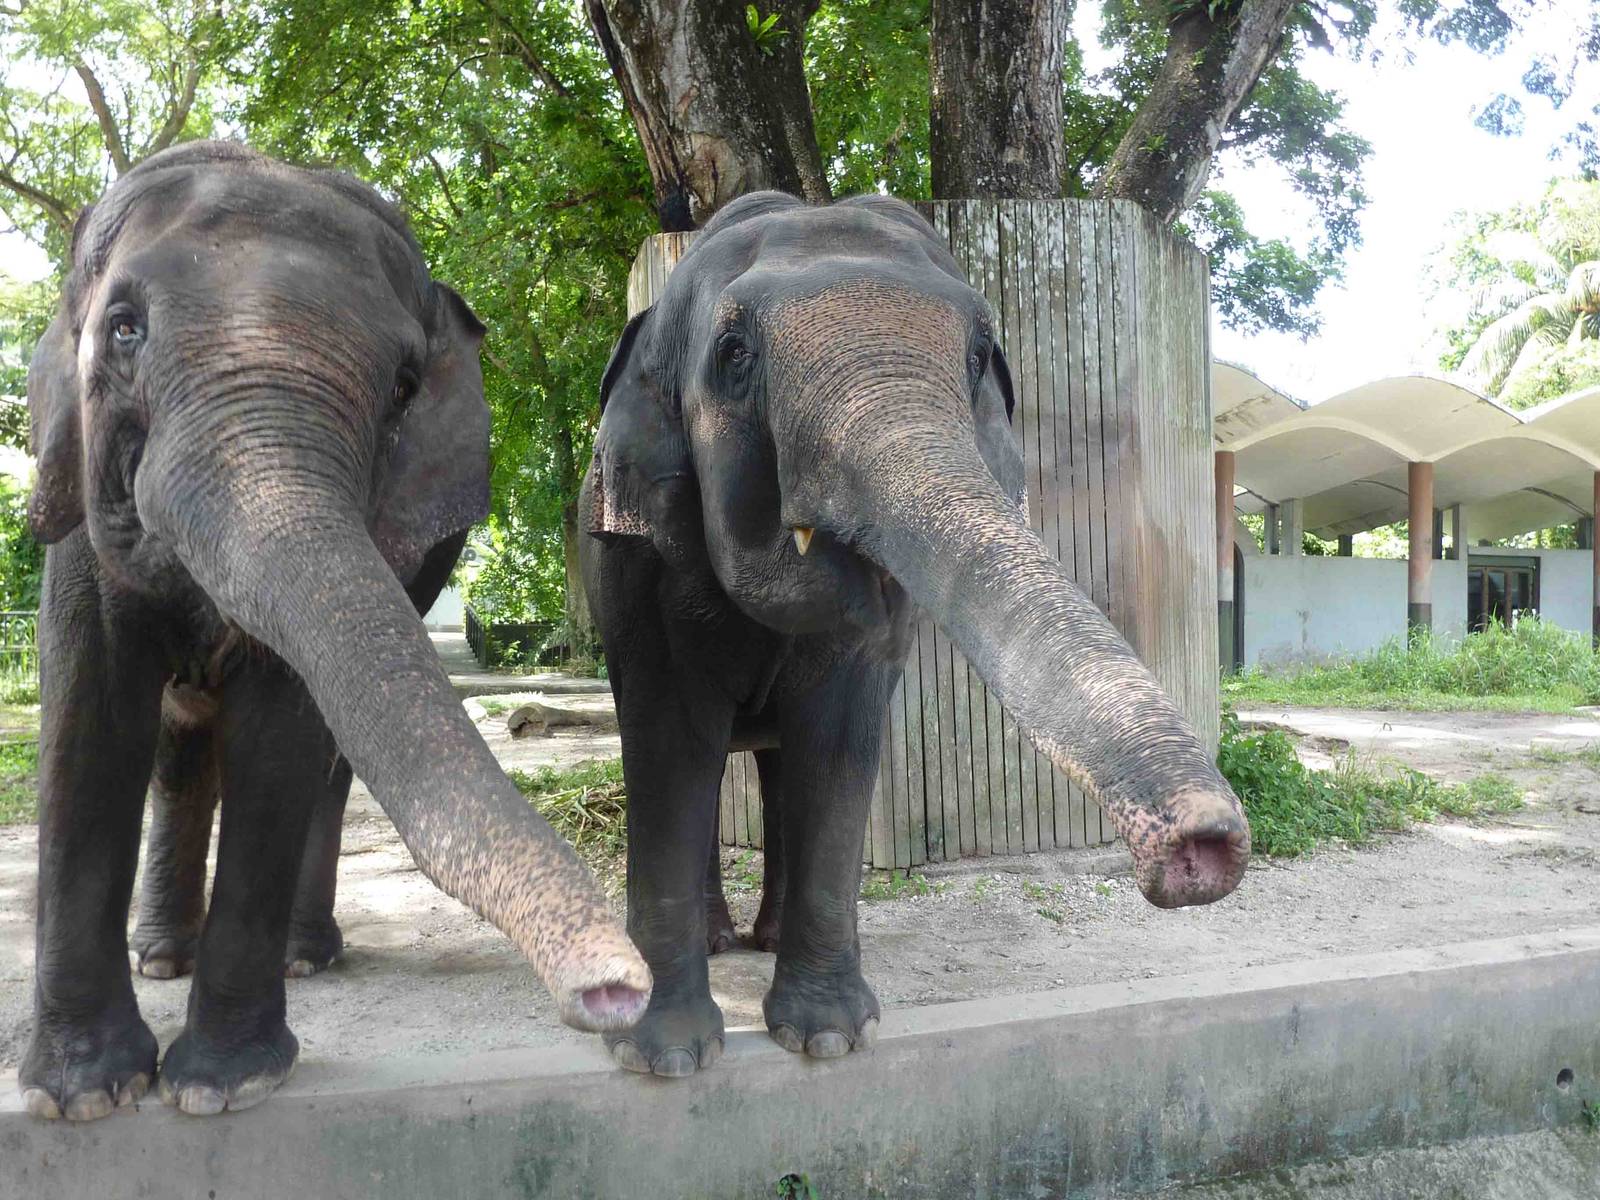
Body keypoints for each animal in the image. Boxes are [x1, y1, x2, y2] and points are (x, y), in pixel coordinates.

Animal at [20, 141, 649, 1122]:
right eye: (123, 328)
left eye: (402, 385)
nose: (618, 990)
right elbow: (91, 718)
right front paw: (83, 1095)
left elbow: (280, 732)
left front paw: (223, 1086)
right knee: (178, 749)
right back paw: (162, 957)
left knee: (315, 761)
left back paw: (300, 957)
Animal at [580, 191, 1250, 1078]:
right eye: (733, 354)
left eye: (979, 354)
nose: (1202, 850)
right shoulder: (638, 566)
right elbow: (669, 740)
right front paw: (667, 1058)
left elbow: (839, 742)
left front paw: (828, 1038)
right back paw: (726, 943)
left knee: (778, 764)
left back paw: (765, 938)